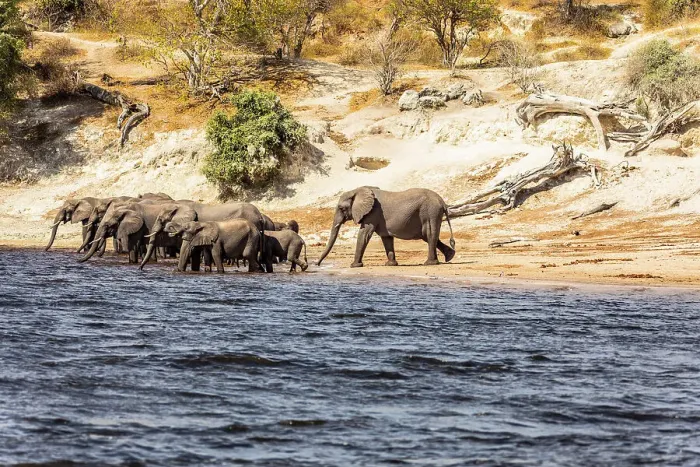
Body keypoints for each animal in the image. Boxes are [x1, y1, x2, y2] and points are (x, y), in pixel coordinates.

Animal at [317, 186, 455, 268]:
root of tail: (443, 202)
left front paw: (354, 266)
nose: (316, 264)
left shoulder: (372, 212)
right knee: (428, 236)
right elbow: (386, 238)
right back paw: (448, 256)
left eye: (341, 208)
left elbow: (364, 234)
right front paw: (390, 265)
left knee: (429, 234)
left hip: (430, 212)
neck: (358, 190)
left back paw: (429, 263)